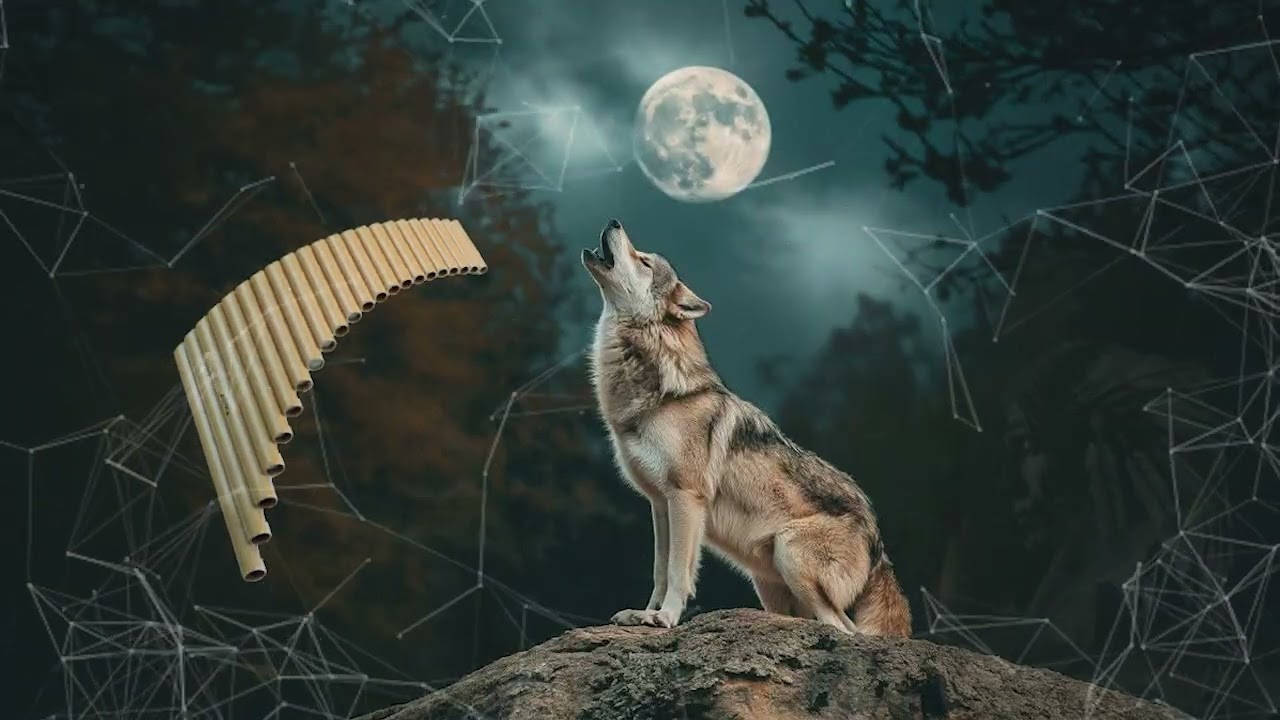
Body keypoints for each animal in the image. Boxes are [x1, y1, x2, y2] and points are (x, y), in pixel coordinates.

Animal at [582, 218, 912, 637]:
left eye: (644, 262)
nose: (614, 221)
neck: (660, 393)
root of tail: (878, 540)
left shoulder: (686, 498)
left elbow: (677, 573)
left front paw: (666, 618)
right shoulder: (659, 504)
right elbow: (659, 571)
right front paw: (644, 614)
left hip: (790, 553)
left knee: (845, 629)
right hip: (770, 585)